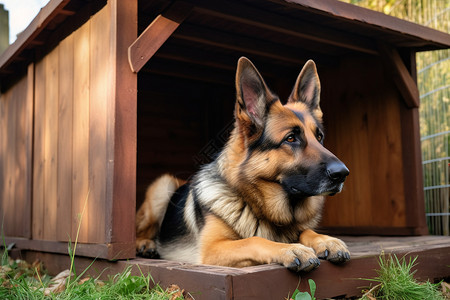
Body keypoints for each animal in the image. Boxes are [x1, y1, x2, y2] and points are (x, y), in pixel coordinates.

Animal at [135, 56, 350, 272]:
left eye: (319, 137)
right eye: (290, 138)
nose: (342, 173)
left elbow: (305, 231)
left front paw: (325, 239)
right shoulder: (213, 248)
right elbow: (254, 240)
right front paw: (289, 248)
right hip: (163, 186)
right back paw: (145, 244)